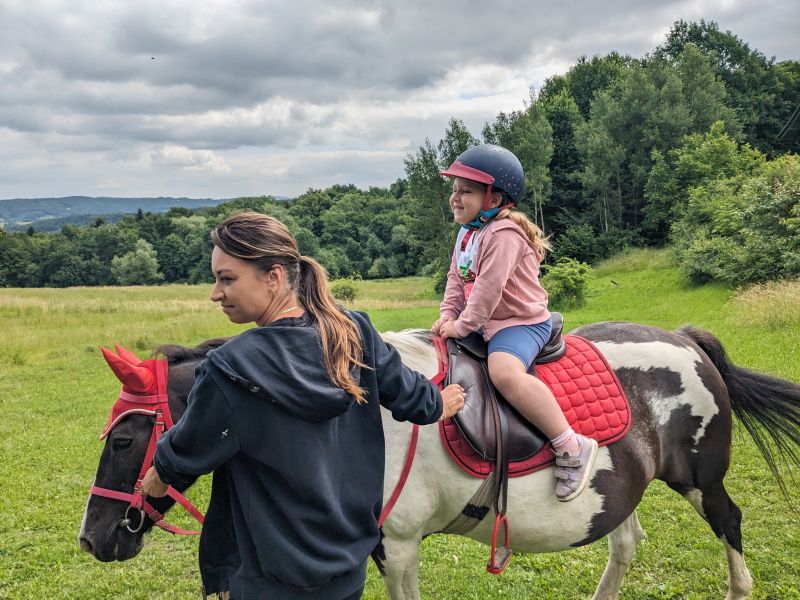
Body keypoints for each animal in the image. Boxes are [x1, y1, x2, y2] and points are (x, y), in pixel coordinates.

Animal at [81, 324, 800, 600]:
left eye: (124, 442)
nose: (93, 539)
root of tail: (684, 338)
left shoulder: (397, 546)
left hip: (700, 480)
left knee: (731, 525)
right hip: (620, 490)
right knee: (625, 542)